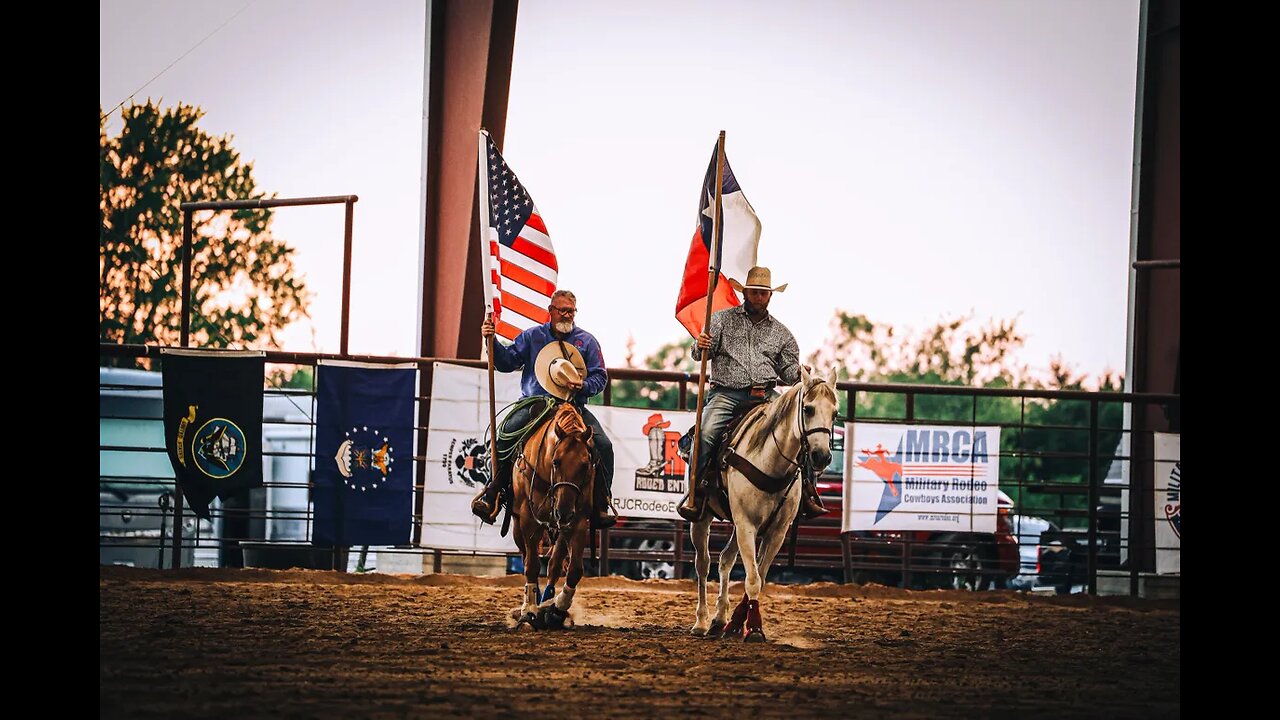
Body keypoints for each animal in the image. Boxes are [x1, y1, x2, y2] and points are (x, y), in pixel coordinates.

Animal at [509, 399, 593, 625]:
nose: (563, 511)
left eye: (585, 465)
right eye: (556, 461)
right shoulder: (529, 519)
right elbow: (531, 564)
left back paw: (547, 603)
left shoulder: (578, 520)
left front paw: (558, 608)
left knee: (554, 564)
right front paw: (529, 609)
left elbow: (574, 569)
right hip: (518, 523)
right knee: (526, 555)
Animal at [691, 366, 839, 640]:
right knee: (703, 564)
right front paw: (752, 627)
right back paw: (702, 622)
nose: (821, 456)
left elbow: (759, 575)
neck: (771, 461)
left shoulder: (776, 532)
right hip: (702, 519)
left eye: (835, 413)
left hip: (737, 526)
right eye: (808, 409)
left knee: (725, 560)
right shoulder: (747, 525)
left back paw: (719, 619)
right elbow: (752, 579)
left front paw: (738, 623)